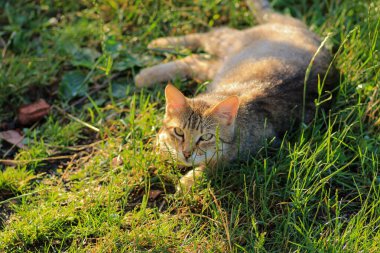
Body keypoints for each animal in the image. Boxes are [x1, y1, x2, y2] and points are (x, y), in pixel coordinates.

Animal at [135, 0, 336, 190]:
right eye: (179, 132)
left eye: (206, 137)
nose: (186, 153)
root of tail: (310, 34)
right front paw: (162, 146)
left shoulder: (254, 148)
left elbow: (214, 165)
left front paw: (189, 180)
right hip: (225, 43)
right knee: (203, 38)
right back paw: (155, 52)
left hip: (219, 61)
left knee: (194, 60)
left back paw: (146, 71)